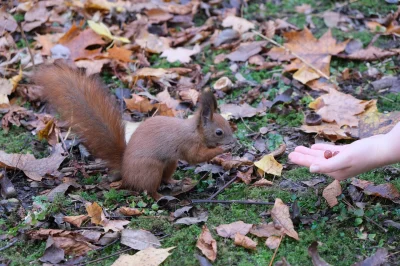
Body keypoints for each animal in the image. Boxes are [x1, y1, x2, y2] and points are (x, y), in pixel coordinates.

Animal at [34, 61, 236, 198]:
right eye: (219, 132)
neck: (195, 131)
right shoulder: (188, 144)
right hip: (150, 169)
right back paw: (160, 196)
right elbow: (196, 157)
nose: (234, 142)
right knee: (149, 189)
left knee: (165, 178)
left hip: (170, 163)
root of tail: (125, 171)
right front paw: (222, 149)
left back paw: (177, 181)